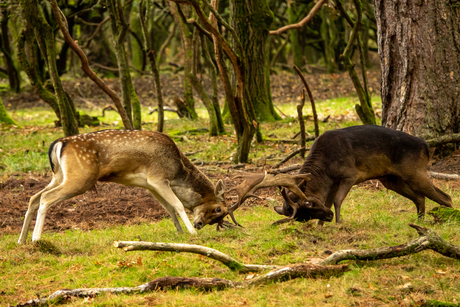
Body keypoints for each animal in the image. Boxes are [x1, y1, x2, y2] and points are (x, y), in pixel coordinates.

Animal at [18, 129, 328, 244]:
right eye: (218, 209)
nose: (201, 224)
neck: (178, 169)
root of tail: (59, 143)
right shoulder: (157, 177)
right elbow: (178, 203)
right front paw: (190, 232)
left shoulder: (148, 184)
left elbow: (168, 208)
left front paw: (180, 232)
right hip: (80, 177)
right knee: (46, 199)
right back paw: (35, 239)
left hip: (60, 174)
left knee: (34, 196)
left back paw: (21, 240)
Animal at [274, 125, 452, 224]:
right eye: (303, 218)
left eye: (308, 204)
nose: (329, 217)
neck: (325, 169)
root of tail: (426, 147)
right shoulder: (333, 182)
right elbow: (328, 202)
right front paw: (322, 226)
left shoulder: (350, 174)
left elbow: (337, 201)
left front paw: (339, 223)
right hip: (391, 179)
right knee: (420, 198)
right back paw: (420, 221)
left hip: (414, 171)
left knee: (446, 197)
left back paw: (448, 217)